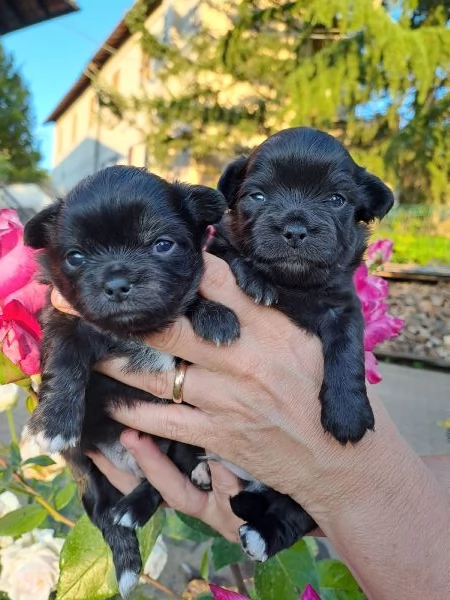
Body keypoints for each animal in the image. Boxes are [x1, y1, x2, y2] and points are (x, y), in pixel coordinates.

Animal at [24, 165, 239, 600]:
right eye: (75, 257)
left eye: (162, 245)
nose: (117, 282)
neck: (136, 331)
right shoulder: (64, 319)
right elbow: (65, 361)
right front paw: (54, 422)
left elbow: (191, 296)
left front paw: (214, 313)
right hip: (87, 472)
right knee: (105, 515)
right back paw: (124, 558)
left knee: (162, 482)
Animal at [207, 126, 394, 564]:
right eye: (257, 197)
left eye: (336, 200)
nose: (294, 228)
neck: (293, 284)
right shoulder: (216, 248)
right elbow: (230, 254)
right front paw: (254, 278)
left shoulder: (344, 306)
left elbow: (347, 348)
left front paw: (347, 411)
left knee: (292, 513)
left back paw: (261, 535)